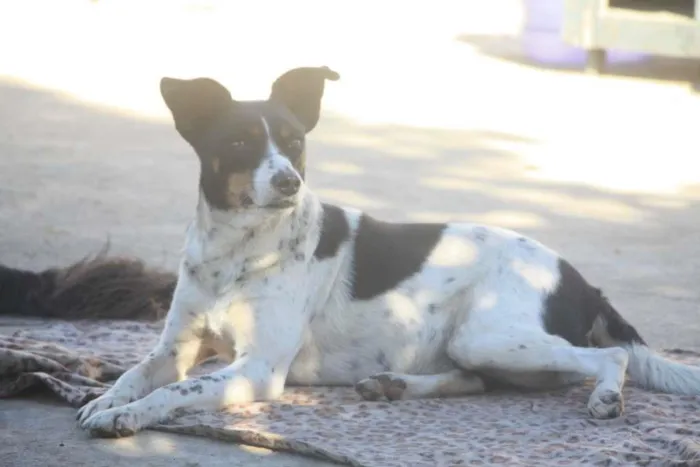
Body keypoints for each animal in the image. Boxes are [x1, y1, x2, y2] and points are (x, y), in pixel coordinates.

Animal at [1, 66, 700, 438]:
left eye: (295, 142)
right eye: (237, 143)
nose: (289, 181)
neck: (238, 251)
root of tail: (580, 278)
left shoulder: (256, 369)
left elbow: (174, 393)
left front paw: (128, 417)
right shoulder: (175, 348)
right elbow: (129, 374)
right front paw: (105, 399)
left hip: (494, 334)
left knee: (609, 356)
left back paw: (606, 396)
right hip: (478, 346)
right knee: (480, 380)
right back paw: (392, 384)